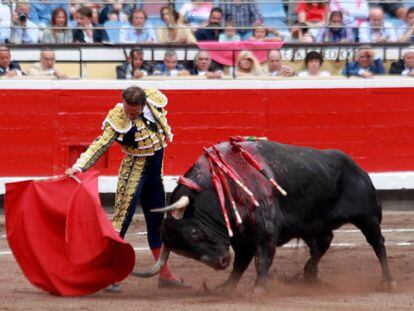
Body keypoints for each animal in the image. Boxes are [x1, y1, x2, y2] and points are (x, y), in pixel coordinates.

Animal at [134, 141, 396, 292]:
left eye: (195, 232)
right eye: (184, 251)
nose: (221, 261)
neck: (223, 183)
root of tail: (360, 169)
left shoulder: (265, 228)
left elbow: (263, 258)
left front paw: (258, 289)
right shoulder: (242, 237)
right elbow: (241, 263)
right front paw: (225, 287)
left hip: (368, 217)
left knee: (377, 243)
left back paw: (388, 281)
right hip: (316, 225)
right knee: (322, 245)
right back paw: (309, 277)